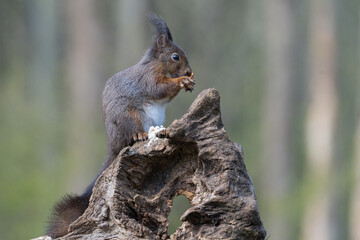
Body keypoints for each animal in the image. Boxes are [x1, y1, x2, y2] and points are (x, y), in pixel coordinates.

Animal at [46, 15, 195, 238]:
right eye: (175, 56)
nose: (189, 71)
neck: (155, 64)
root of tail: (114, 146)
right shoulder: (149, 78)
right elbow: (160, 89)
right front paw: (182, 80)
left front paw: (188, 82)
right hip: (130, 117)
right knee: (132, 134)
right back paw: (140, 135)